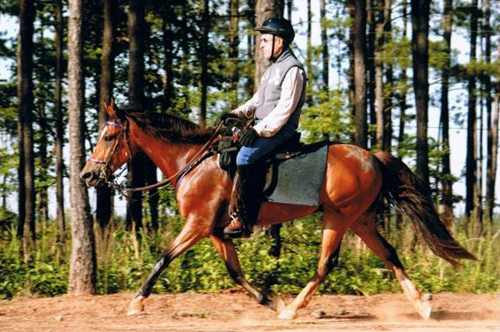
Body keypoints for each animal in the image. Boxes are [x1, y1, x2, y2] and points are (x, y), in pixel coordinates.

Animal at [82, 104, 476, 322]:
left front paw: (137, 303)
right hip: (361, 220)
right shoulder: (216, 231)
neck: (192, 162)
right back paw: (422, 305)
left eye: (107, 137)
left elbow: (164, 258)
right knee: (389, 254)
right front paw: (269, 300)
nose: (87, 175)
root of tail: (372, 157)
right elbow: (235, 272)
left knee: (326, 264)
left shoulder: (198, 225)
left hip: (338, 218)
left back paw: (294, 310)